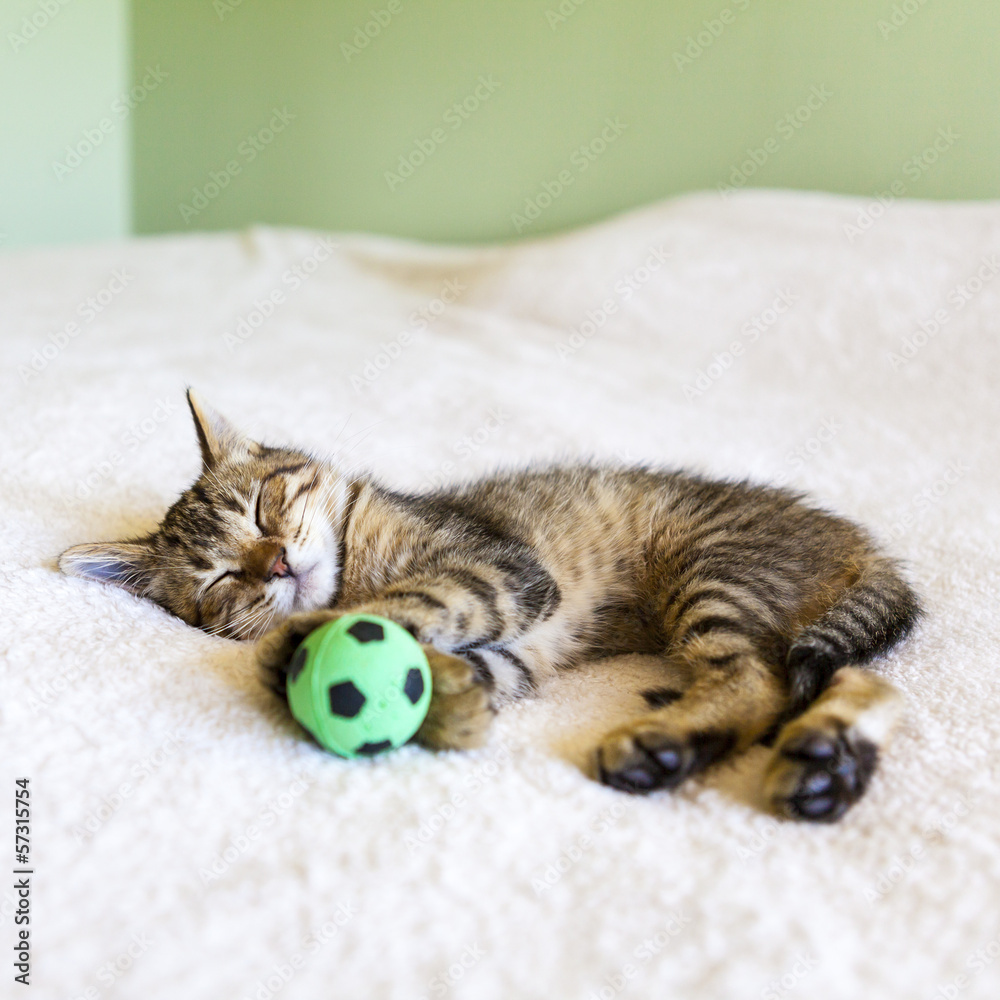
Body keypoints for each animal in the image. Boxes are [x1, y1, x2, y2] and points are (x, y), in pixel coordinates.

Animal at [60, 390, 920, 820]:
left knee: (760, 680)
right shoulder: (521, 635)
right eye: (216, 581)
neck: (354, 565)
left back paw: (670, 745)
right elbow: (460, 662)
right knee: (853, 680)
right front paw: (451, 700)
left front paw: (302, 644)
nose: (274, 564)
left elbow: (417, 599)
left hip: (714, 574)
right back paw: (821, 765)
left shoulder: (504, 569)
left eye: (267, 504)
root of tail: (861, 543)